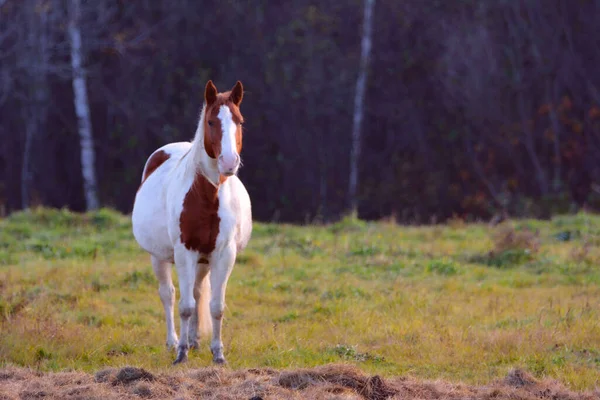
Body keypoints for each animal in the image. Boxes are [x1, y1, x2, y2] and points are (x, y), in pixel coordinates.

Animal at [131, 79, 253, 364]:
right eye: (210, 121)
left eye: (239, 121)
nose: (229, 162)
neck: (207, 196)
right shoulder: (184, 252)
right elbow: (185, 306)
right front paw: (181, 354)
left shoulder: (223, 254)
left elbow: (215, 307)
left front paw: (218, 354)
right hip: (160, 257)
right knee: (169, 294)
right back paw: (174, 341)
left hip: (203, 261)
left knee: (197, 293)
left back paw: (196, 341)